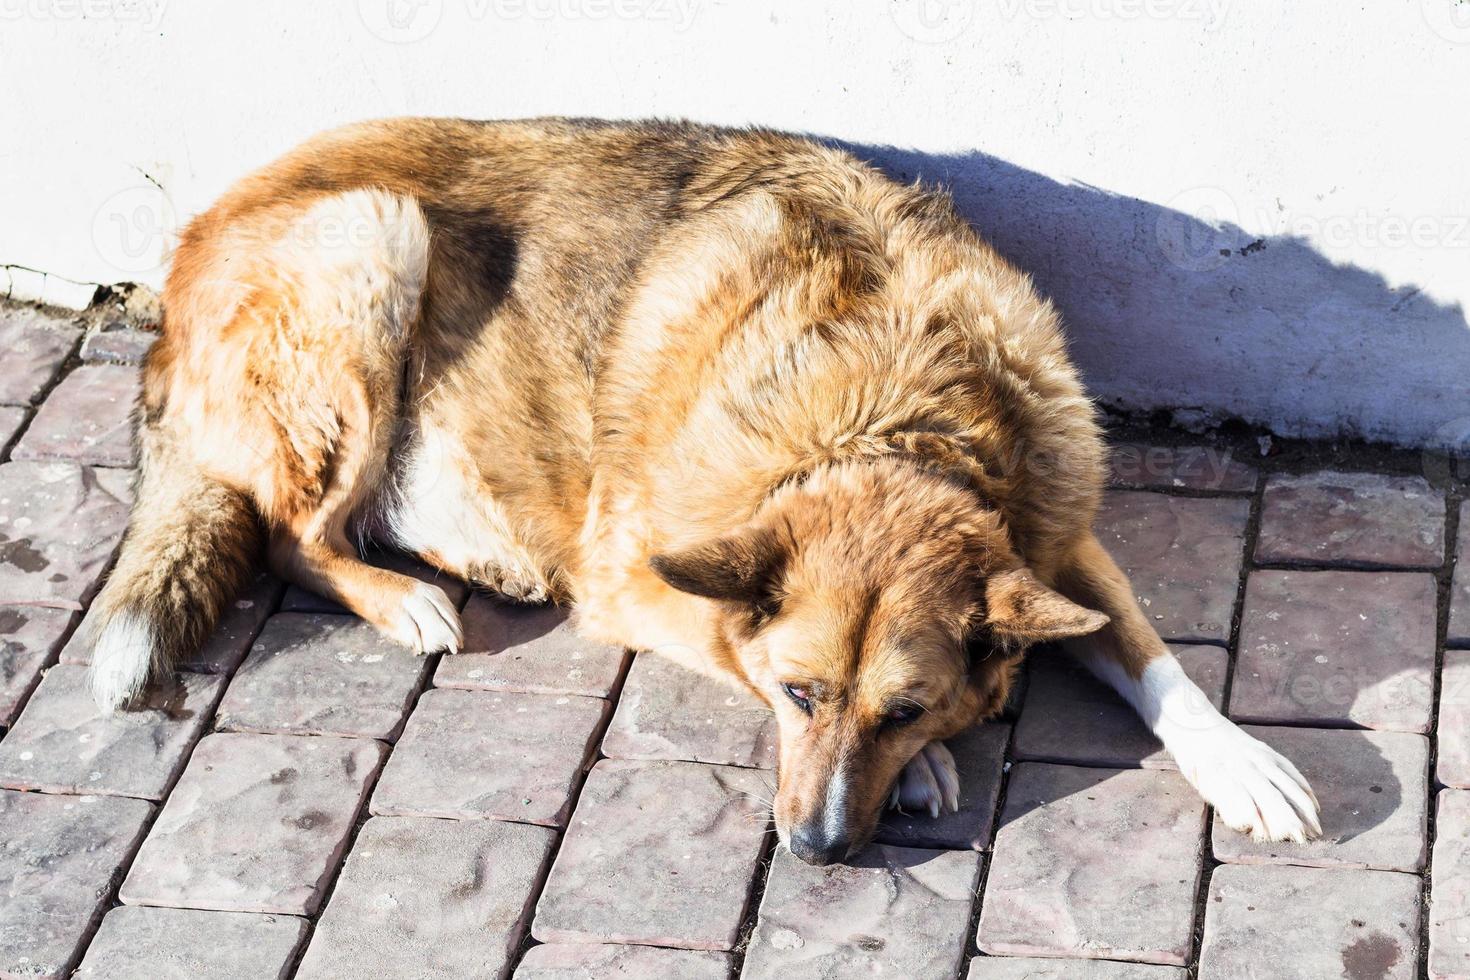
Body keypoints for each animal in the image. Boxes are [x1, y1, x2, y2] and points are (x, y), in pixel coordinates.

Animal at [85, 119, 1317, 863]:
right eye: (801, 695)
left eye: (902, 706)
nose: (817, 851)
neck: (889, 414)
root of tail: (179, 268)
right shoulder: (640, 581)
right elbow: (734, 639)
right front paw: (928, 772)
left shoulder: (1058, 540)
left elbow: (1156, 658)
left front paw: (1241, 762)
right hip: (375, 234)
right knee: (291, 533)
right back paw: (406, 596)